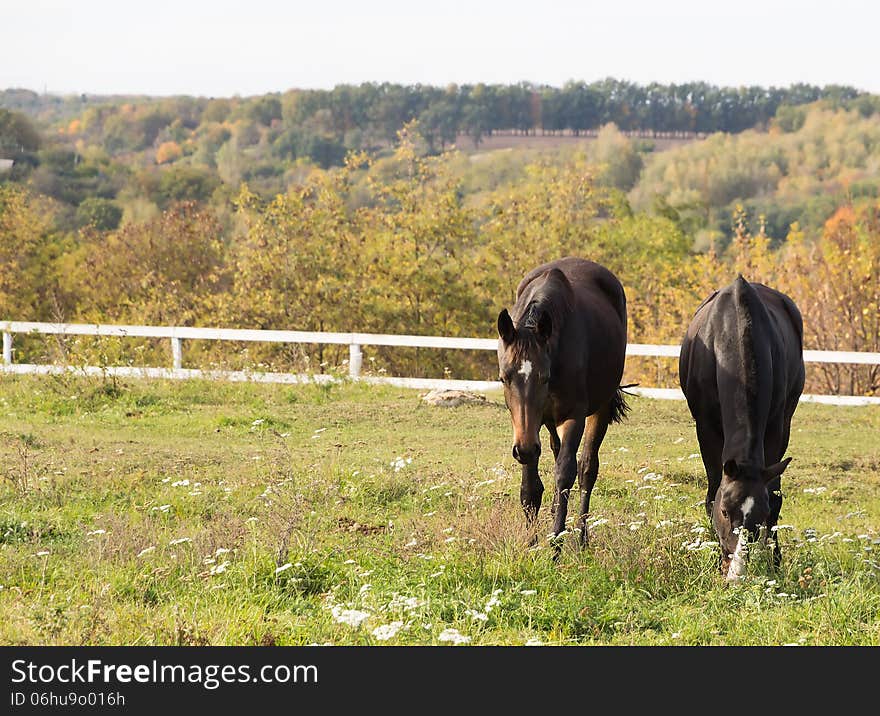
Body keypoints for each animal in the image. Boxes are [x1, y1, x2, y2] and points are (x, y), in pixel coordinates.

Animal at [496, 258, 632, 552]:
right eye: (503, 378)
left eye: (544, 377)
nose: (524, 448)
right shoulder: (529, 429)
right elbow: (531, 487)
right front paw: (531, 544)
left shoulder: (573, 417)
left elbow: (565, 474)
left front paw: (555, 547)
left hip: (599, 409)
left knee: (586, 469)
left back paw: (581, 538)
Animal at [680, 276, 804, 580]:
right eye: (725, 512)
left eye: (759, 517)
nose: (736, 573)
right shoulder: (706, 428)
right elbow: (711, 492)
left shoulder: (775, 428)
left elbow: (775, 497)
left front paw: (774, 562)